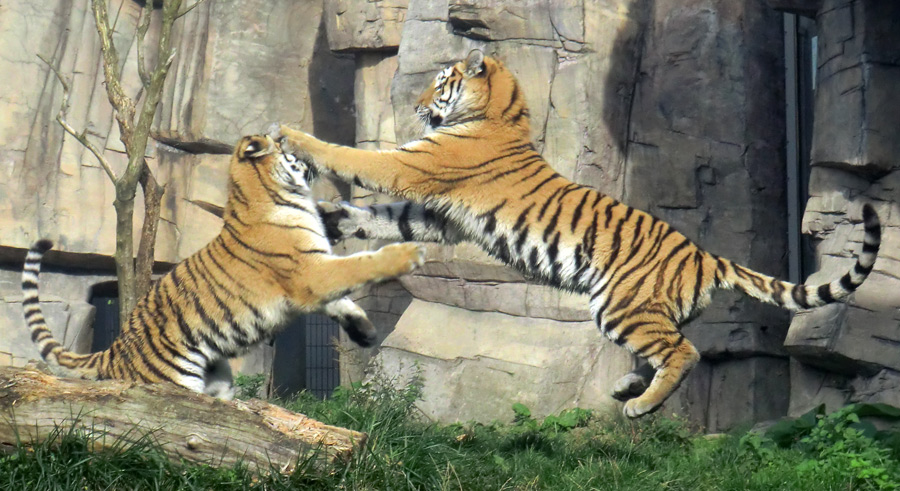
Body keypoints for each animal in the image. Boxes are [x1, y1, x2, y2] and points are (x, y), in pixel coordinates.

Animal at [22, 135, 424, 400]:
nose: (313, 156)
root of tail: (115, 348)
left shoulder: (312, 272)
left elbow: (341, 301)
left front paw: (365, 332)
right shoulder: (309, 271)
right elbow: (358, 266)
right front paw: (407, 254)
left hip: (219, 380)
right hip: (174, 382)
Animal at [280, 51, 880, 418]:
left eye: (441, 82)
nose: (416, 105)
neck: (500, 114)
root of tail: (707, 257)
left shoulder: (416, 167)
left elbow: (355, 158)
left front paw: (291, 135)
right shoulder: (438, 214)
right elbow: (383, 215)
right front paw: (332, 217)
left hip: (621, 305)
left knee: (684, 353)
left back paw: (638, 404)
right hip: (639, 313)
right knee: (662, 351)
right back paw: (627, 388)